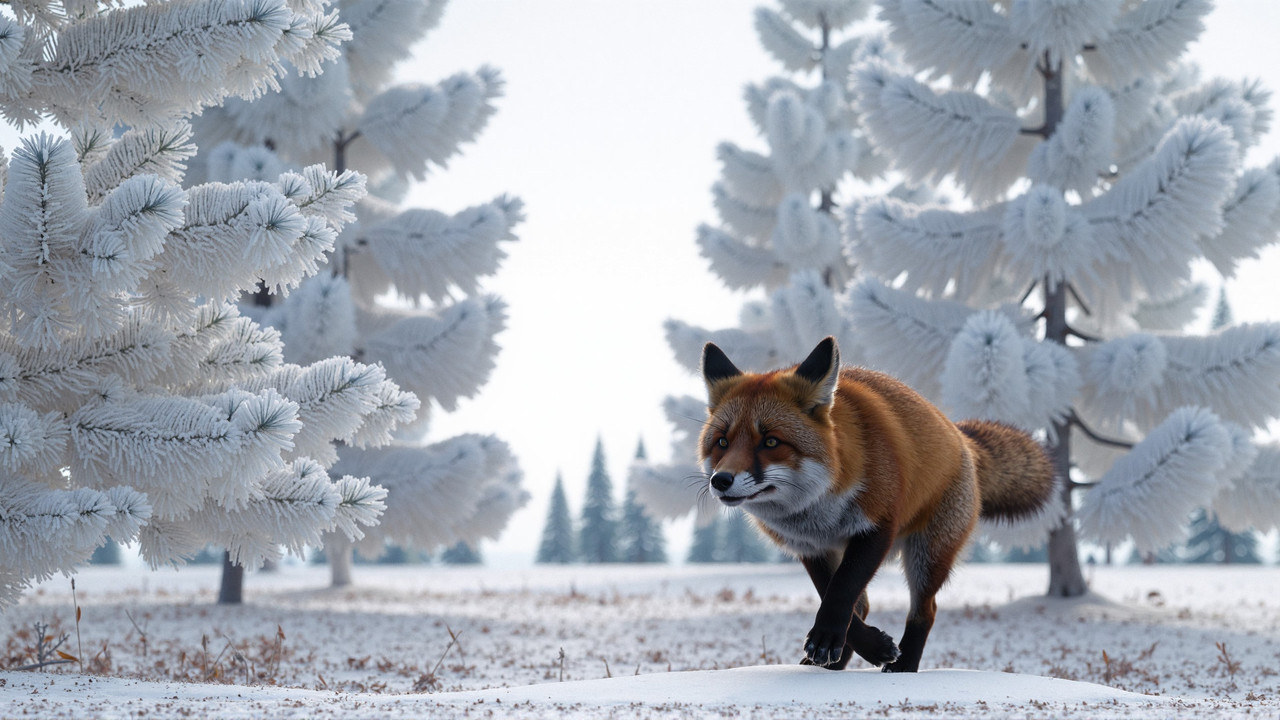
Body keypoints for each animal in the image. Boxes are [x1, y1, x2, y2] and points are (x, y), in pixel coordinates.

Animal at [699, 336, 1054, 673]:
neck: (818, 510)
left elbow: (841, 590)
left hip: (927, 554)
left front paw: (835, 640)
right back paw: (835, 665)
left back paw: (904, 666)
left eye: (771, 441)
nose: (721, 480)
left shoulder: (877, 526)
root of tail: (959, 435)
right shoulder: (810, 548)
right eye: (722, 442)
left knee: (925, 611)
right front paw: (861, 647)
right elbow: (836, 598)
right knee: (865, 607)